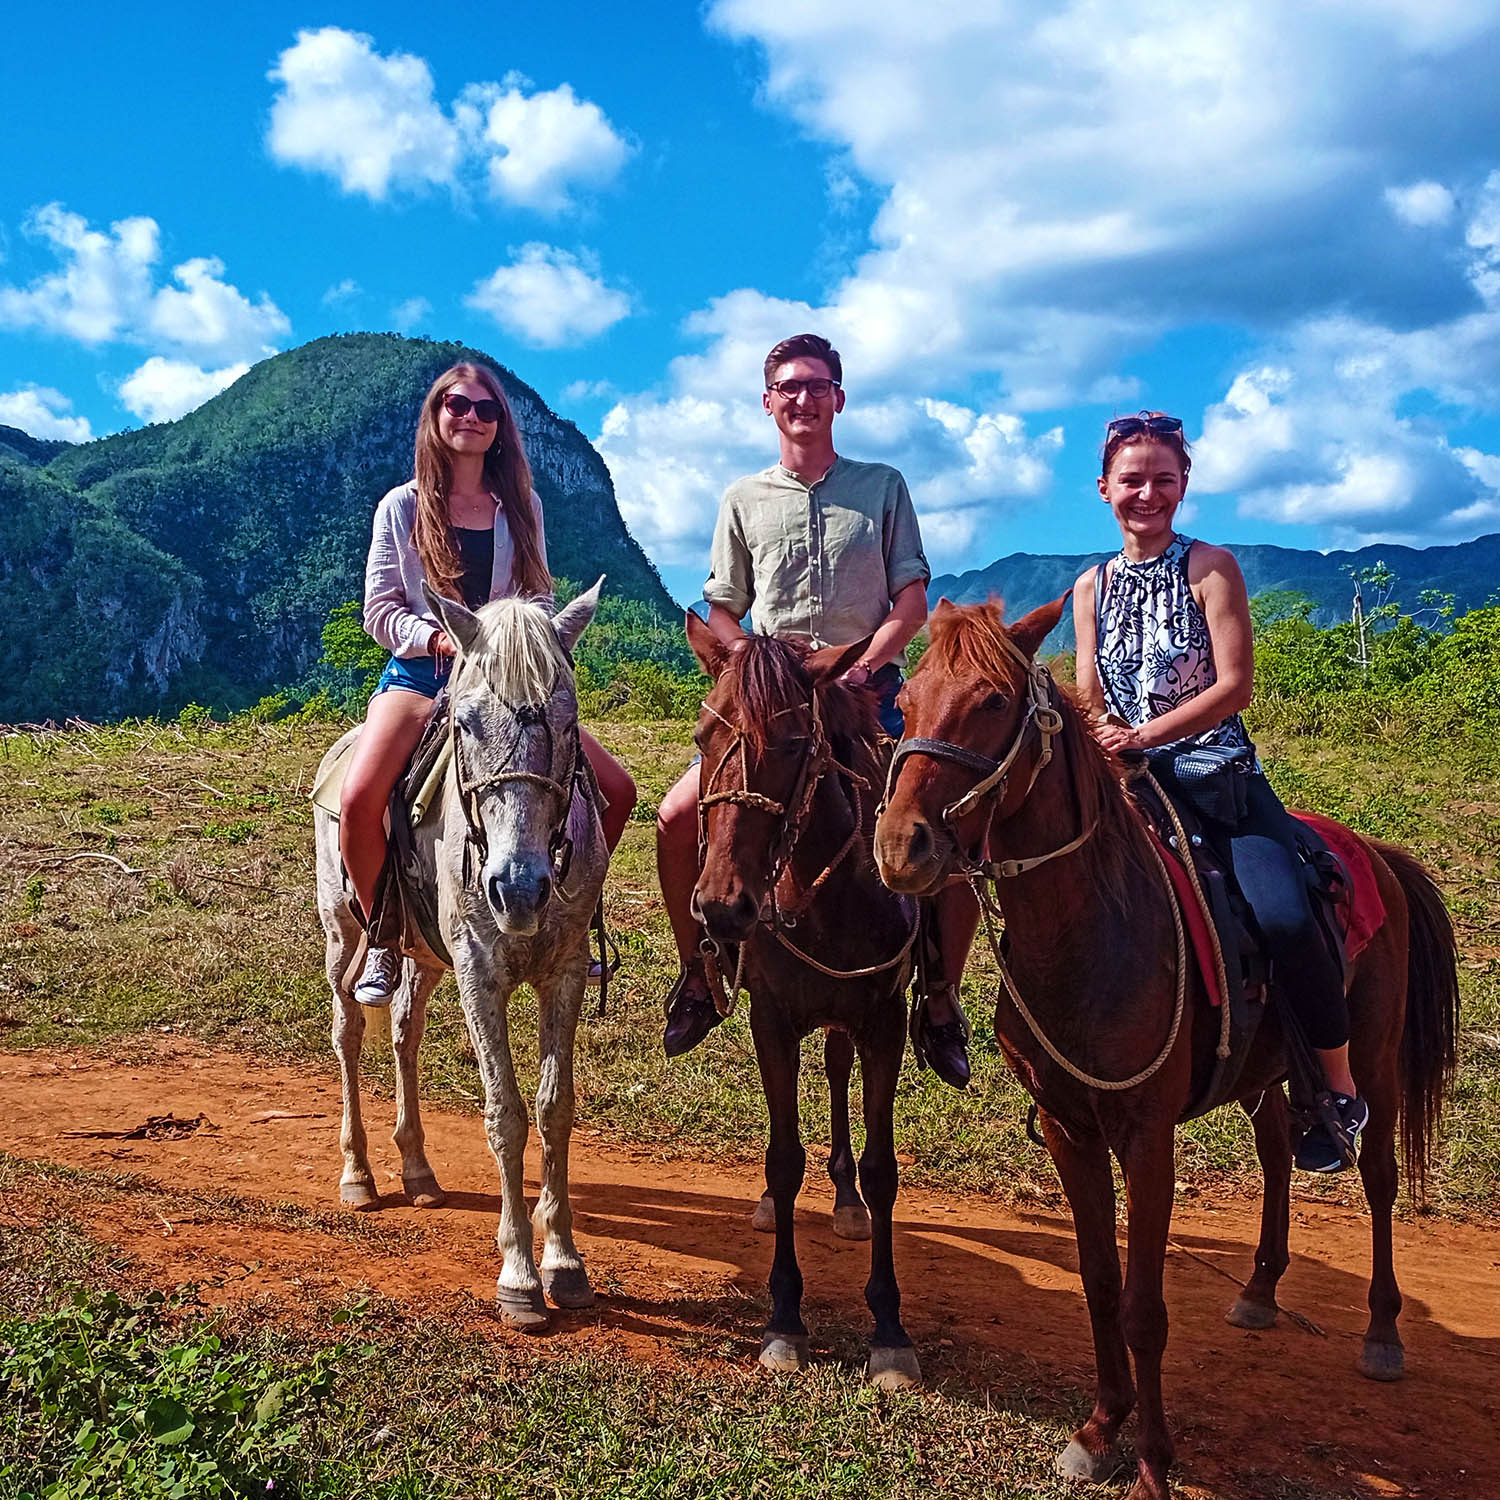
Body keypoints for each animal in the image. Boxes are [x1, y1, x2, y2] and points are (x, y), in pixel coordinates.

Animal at [313, 579, 606, 1332]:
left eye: (569, 723)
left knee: (403, 1030)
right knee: (348, 1031)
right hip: (342, 931)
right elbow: (505, 1113)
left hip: (423, 952)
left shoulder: (563, 972)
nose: (518, 887)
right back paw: (358, 1173)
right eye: (467, 725)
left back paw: (416, 1169)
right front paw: (520, 1275)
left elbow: (554, 1107)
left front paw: (565, 1262)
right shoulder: (479, 969)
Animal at [690, 615, 924, 1386]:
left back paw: (847, 1200)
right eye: (702, 739)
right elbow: (783, 1159)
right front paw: (785, 1319)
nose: (722, 907)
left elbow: (883, 1169)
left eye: (793, 744)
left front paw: (889, 1328)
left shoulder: (886, 1023)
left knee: (838, 1070)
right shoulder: (772, 1021)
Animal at [876, 591, 1458, 1494]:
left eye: (995, 702)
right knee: (1277, 1154)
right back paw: (1260, 1287)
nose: (901, 848)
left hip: (1372, 1059)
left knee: (1382, 1177)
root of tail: (1377, 855)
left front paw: (1151, 1459)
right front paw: (1099, 1427)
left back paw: (1382, 1333)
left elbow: (1145, 1307)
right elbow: (1100, 1283)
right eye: (903, 704)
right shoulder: (1068, 1129)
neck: (1092, 929)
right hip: (1265, 1074)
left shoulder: (1145, 1135)